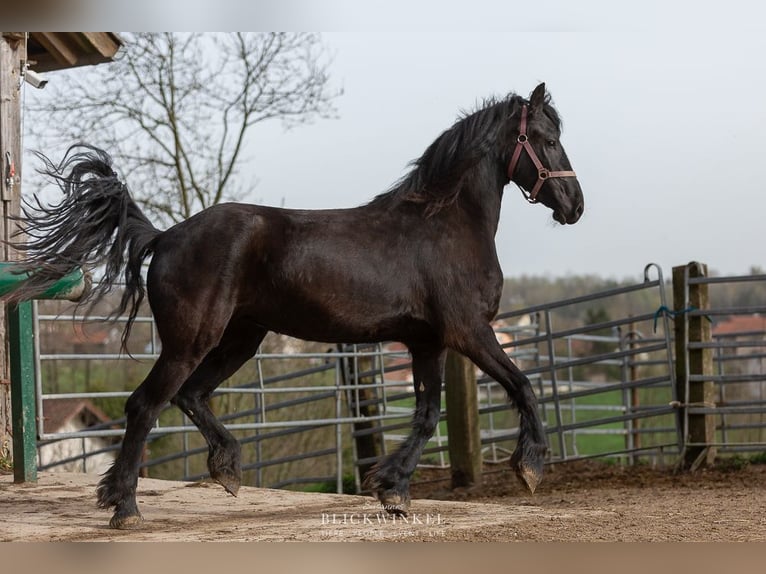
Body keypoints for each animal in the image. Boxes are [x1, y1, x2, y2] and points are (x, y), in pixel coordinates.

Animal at [4, 83, 584, 528]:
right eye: (549, 140)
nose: (575, 206)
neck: (444, 225)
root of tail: (166, 236)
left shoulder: (427, 341)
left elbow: (425, 415)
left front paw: (392, 489)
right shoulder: (470, 331)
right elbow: (523, 386)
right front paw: (530, 468)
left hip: (240, 338)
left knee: (191, 395)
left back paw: (226, 471)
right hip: (192, 340)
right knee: (146, 405)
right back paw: (125, 506)